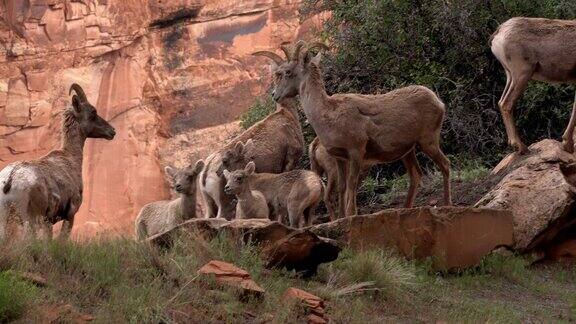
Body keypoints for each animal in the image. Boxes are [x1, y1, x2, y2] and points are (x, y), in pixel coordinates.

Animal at [0, 84, 116, 243]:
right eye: (93, 112)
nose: (112, 131)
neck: (71, 158)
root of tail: (11, 178)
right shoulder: (71, 214)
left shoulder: (48, 221)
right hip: (29, 218)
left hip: (6, 218)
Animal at [255, 41, 450, 218]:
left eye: (287, 72)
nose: (275, 95)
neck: (328, 114)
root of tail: (438, 102)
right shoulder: (340, 158)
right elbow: (342, 188)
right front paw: (342, 216)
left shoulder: (356, 153)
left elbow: (352, 184)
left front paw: (351, 214)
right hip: (408, 152)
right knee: (415, 176)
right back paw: (406, 209)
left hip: (428, 142)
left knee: (445, 165)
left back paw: (447, 205)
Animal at [490, 16, 576, 154]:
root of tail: (499, 32)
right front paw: (568, 146)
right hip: (522, 75)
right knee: (506, 104)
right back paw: (521, 147)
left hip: (510, 76)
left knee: (500, 102)